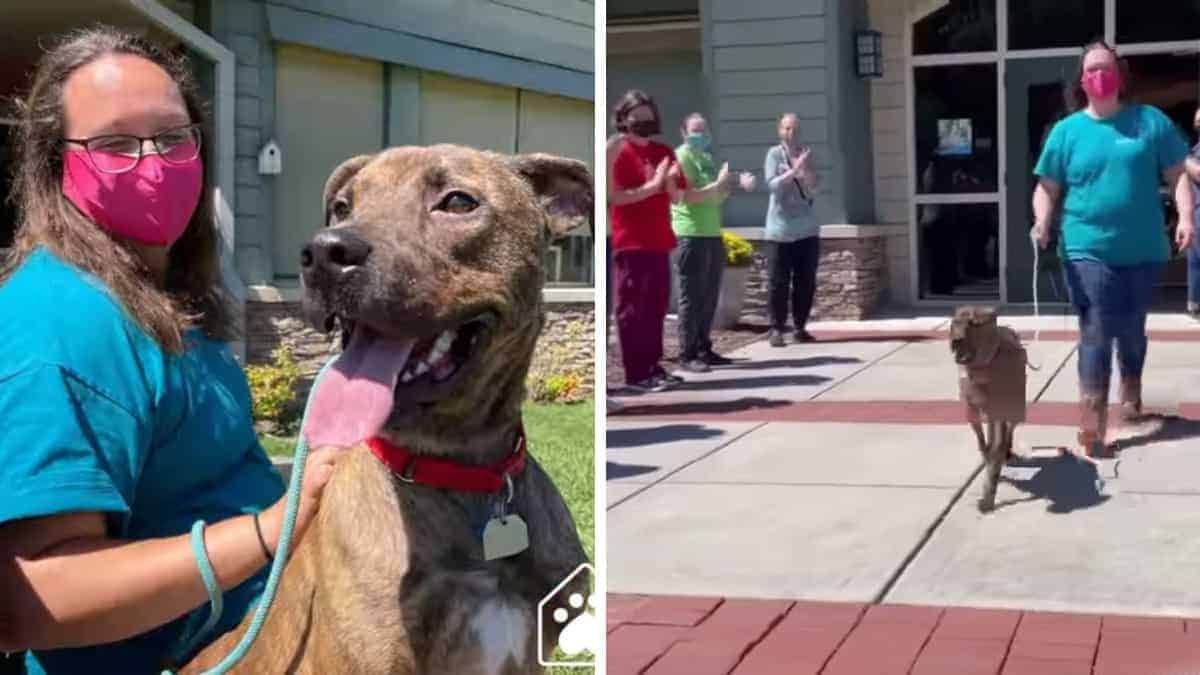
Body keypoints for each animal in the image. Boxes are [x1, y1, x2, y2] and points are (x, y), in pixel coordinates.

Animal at [950, 305, 1027, 509]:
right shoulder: (972, 411)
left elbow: (996, 447)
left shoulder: (1000, 410)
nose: (957, 340)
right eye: (956, 321)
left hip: (1016, 407)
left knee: (1009, 429)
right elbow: (983, 443)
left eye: (975, 323)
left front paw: (988, 495)